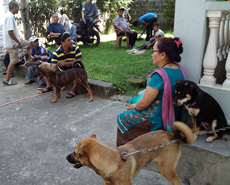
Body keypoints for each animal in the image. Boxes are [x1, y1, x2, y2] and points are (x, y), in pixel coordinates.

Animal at [66, 121, 196, 185]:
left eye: (76, 153)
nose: (66, 157)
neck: (112, 163)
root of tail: (173, 137)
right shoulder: (107, 184)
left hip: (166, 169)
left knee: (177, 181)